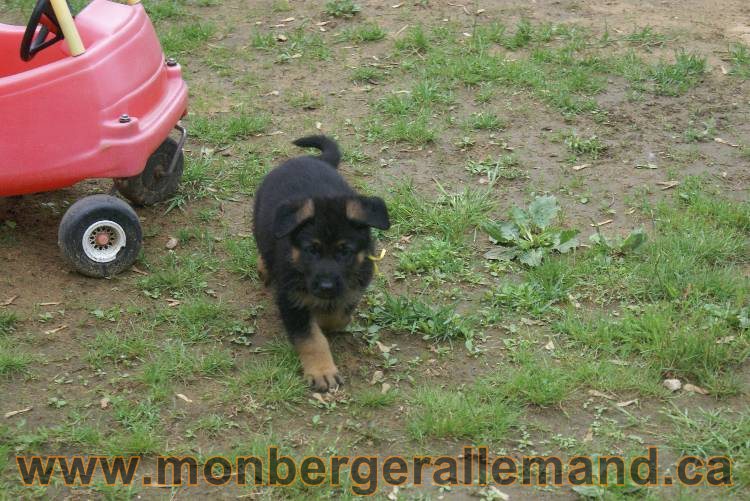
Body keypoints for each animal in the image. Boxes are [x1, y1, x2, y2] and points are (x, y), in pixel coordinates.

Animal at [254, 136, 390, 390]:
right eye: (311, 250)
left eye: (344, 251)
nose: (326, 286)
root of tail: (307, 159)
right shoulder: (291, 300)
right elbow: (311, 339)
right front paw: (322, 372)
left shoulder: (352, 289)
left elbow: (337, 316)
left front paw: (326, 321)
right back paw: (264, 267)